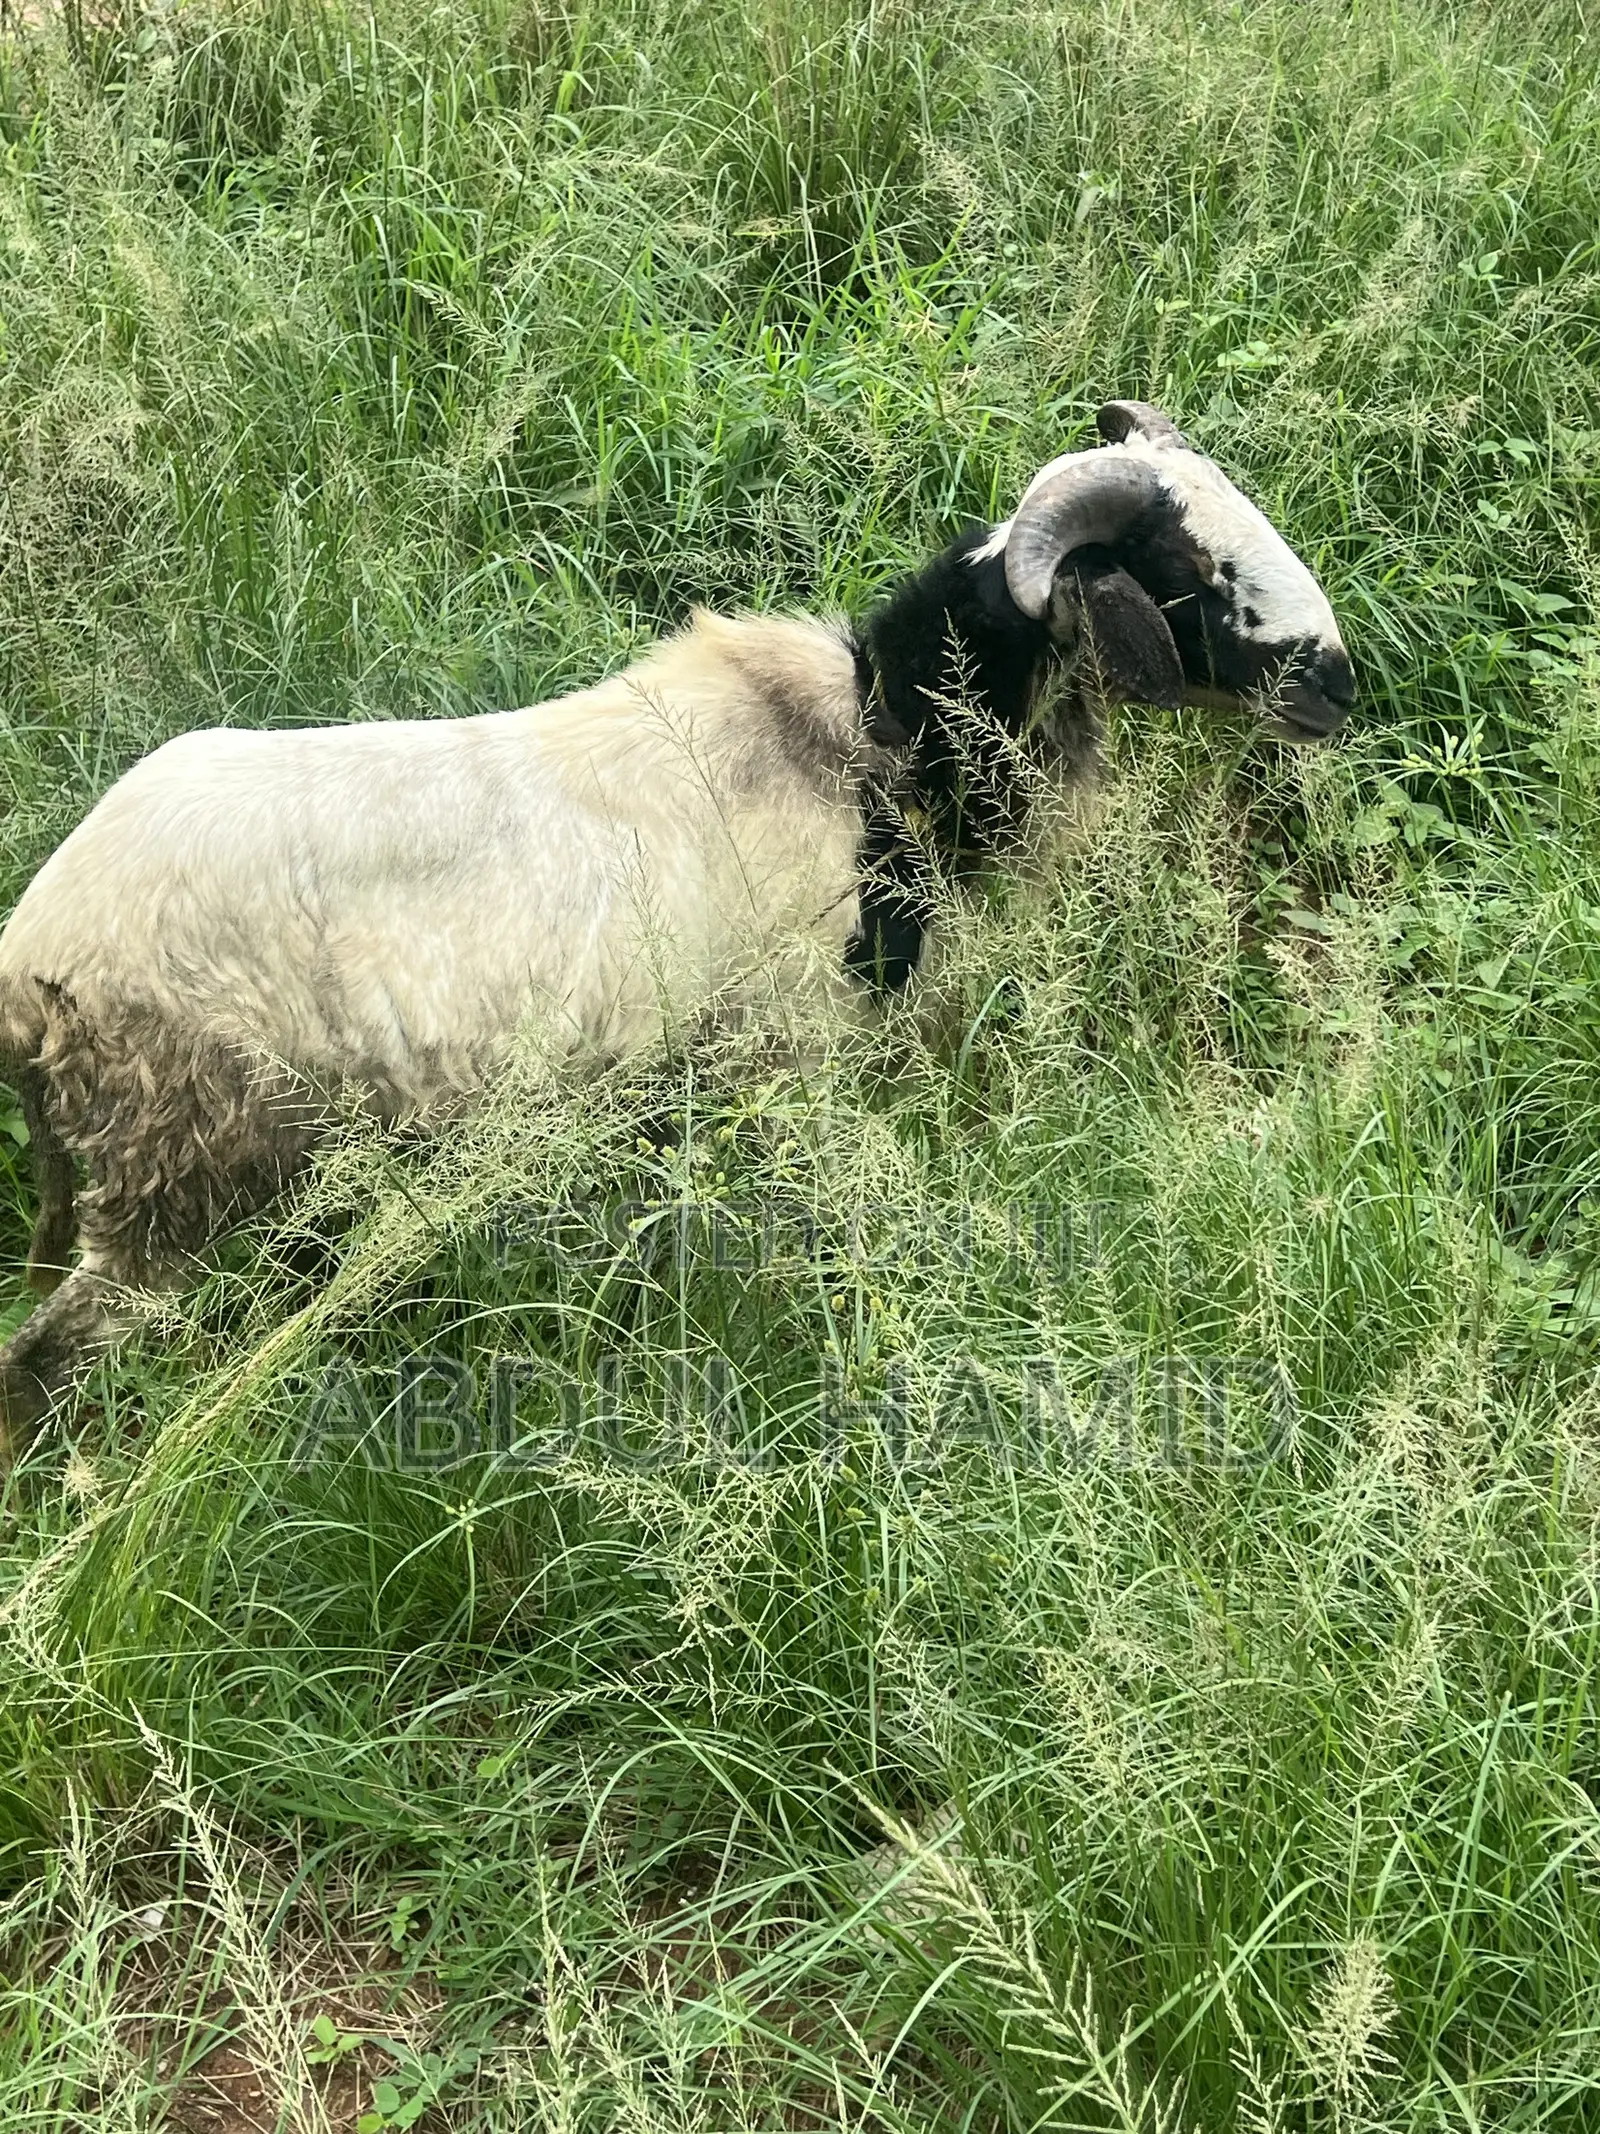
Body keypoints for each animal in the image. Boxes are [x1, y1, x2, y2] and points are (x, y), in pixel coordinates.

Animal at [0, 400, 1354, 1457]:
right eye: (1194, 574)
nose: (1341, 686)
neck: (881, 743)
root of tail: (30, 960)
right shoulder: (790, 1065)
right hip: (174, 1173)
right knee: (46, 1367)